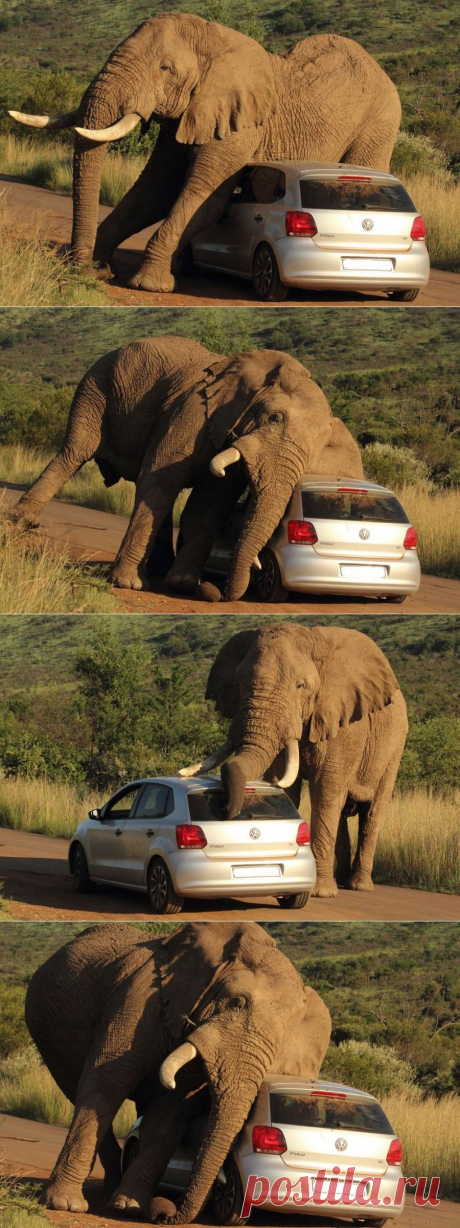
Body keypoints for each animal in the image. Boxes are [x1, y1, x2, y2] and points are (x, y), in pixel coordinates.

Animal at [9, 11, 402, 292]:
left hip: (378, 123)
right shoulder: (186, 115)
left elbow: (204, 199)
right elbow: (154, 191)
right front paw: (102, 269)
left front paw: (149, 285)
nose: (79, 274)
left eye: (165, 69)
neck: (214, 39)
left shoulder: (240, 127)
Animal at [10, 331, 360, 599]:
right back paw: (22, 522)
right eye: (273, 418)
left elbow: (210, 502)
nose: (213, 590)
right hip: (96, 386)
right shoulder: (195, 412)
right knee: (76, 452)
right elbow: (162, 480)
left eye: (316, 450)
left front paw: (182, 583)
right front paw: (128, 584)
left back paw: (159, 571)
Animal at [26, 923, 331, 1218]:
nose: (166, 1213)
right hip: (47, 1026)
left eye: (284, 1036)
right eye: (236, 1003)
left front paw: (131, 1206)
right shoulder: (139, 1000)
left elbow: (169, 1112)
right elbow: (107, 1082)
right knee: (76, 1087)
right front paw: (64, 1204)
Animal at [180, 623, 409, 893]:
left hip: (394, 746)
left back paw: (358, 885)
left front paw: (318, 891)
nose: (223, 809)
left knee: (371, 811)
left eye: (301, 686)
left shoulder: (346, 726)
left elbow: (325, 791)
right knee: (342, 811)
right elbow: (289, 788)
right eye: (238, 682)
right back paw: (341, 881)